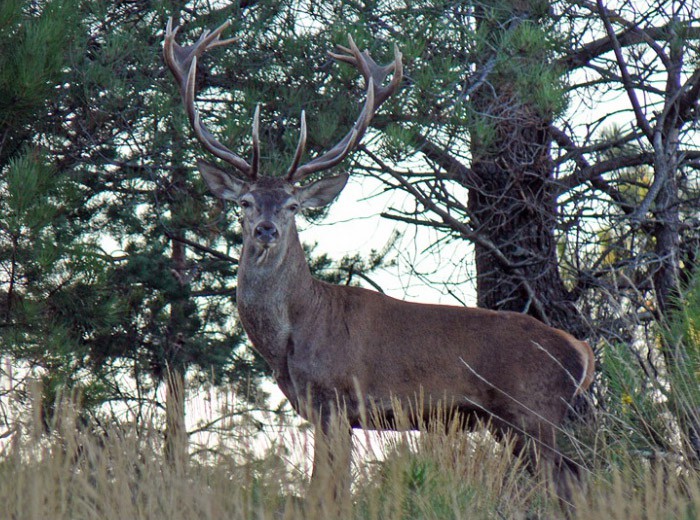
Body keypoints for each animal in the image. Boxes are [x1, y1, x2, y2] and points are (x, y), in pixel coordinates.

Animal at [165, 19, 596, 508]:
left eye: (293, 205)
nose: (266, 230)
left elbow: (326, 491)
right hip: (516, 424)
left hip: (533, 412)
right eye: (245, 202)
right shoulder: (326, 409)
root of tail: (582, 352)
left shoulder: (335, 397)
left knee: (567, 483)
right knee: (574, 479)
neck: (293, 334)